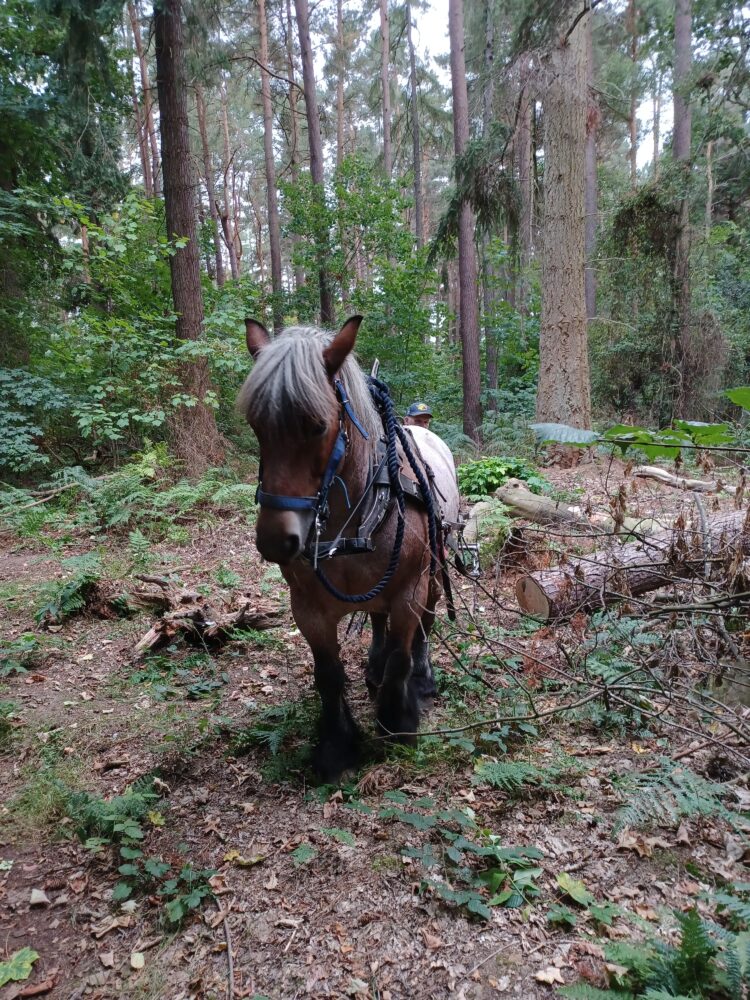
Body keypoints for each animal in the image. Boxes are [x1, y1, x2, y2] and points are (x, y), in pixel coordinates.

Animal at [238, 315, 460, 781]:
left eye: (318, 426)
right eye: (256, 426)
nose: (275, 540)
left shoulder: (408, 591)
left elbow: (401, 657)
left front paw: (397, 723)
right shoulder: (307, 608)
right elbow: (328, 674)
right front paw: (336, 745)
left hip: (431, 571)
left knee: (426, 624)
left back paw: (422, 679)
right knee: (377, 621)